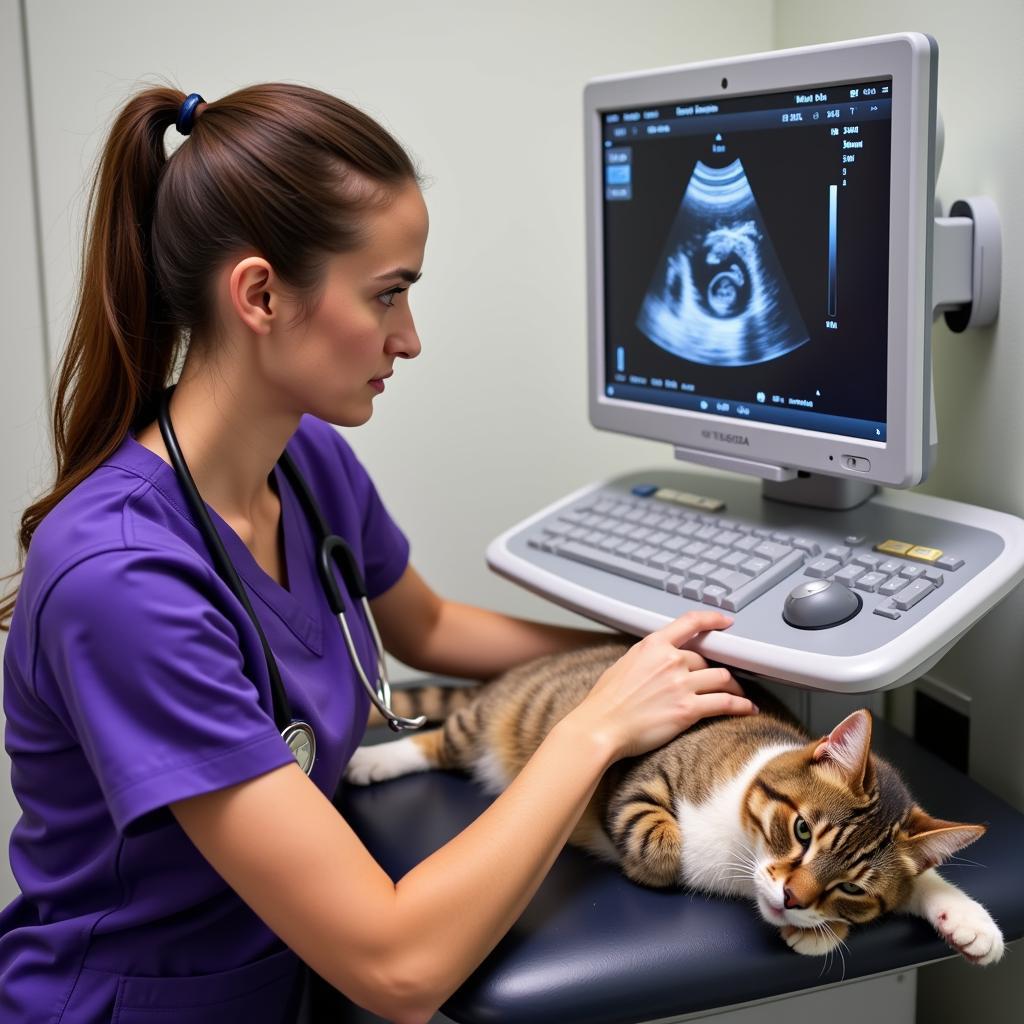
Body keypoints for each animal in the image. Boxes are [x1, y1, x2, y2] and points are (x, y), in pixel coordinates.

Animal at [348, 643, 1003, 962]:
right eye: (801, 831)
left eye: (852, 888)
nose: (793, 898)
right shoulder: (636, 780)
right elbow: (659, 841)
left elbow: (922, 882)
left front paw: (967, 922)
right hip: (491, 720)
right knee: (440, 737)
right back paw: (375, 760)